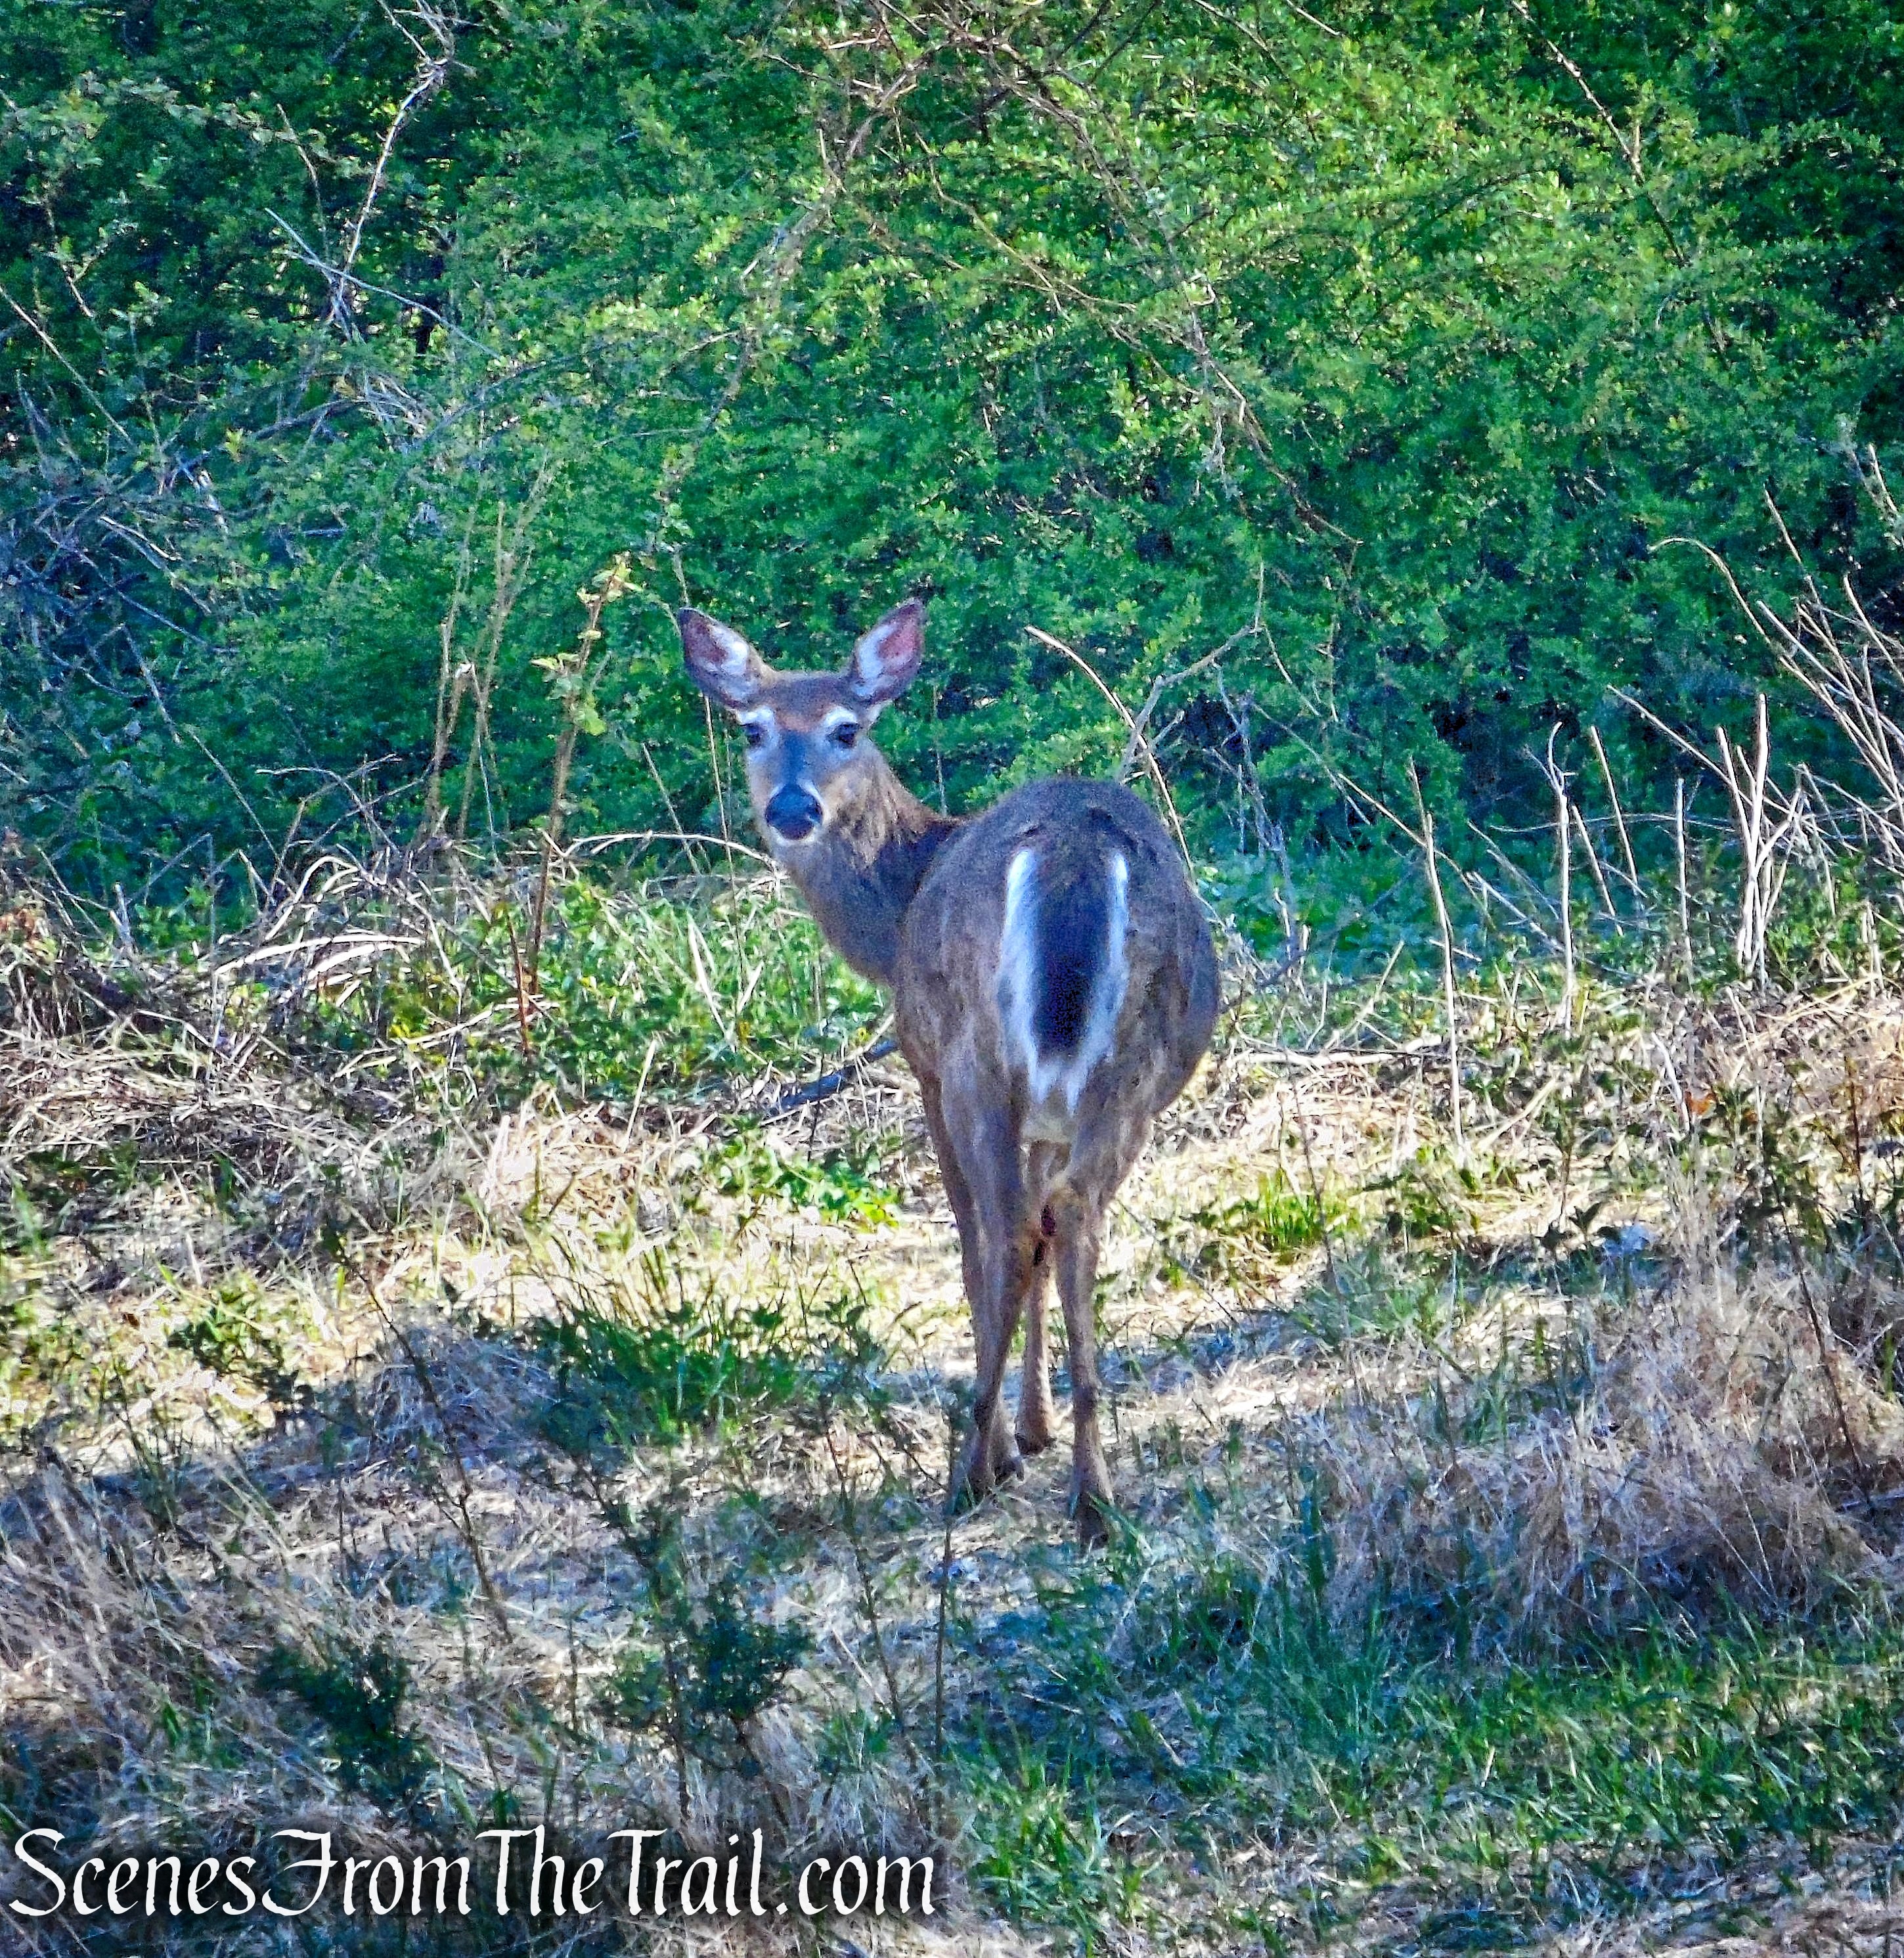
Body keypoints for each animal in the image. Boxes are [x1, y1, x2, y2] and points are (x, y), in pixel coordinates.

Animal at [678, 597, 1217, 1545]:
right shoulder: (1047, 1109)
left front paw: (1008, 1443)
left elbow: (978, 1248)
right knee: (1070, 1214)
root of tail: (1075, 858)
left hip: (977, 1053)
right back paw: (1093, 1495)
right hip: (1131, 1069)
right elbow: (1041, 1243)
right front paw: (1035, 1427)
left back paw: (971, 1472)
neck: (899, 904)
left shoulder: (925, 1065)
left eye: (846, 728)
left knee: (999, 1229)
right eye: (752, 729)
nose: (792, 807)